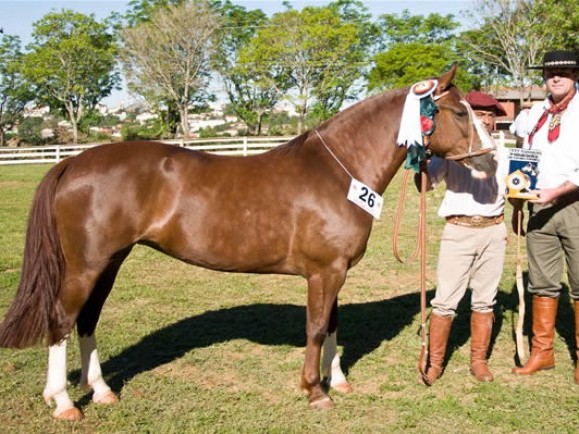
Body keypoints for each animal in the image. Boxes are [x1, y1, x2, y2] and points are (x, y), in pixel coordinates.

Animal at [0, 66, 496, 418]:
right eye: (459, 112)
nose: (491, 161)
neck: (339, 171)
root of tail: (73, 163)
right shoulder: (324, 272)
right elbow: (316, 328)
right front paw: (315, 392)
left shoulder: (335, 272)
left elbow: (333, 326)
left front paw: (337, 381)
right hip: (86, 265)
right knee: (62, 320)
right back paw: (64, 402)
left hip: (110, 261)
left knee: (87, 320)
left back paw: (101, 391)